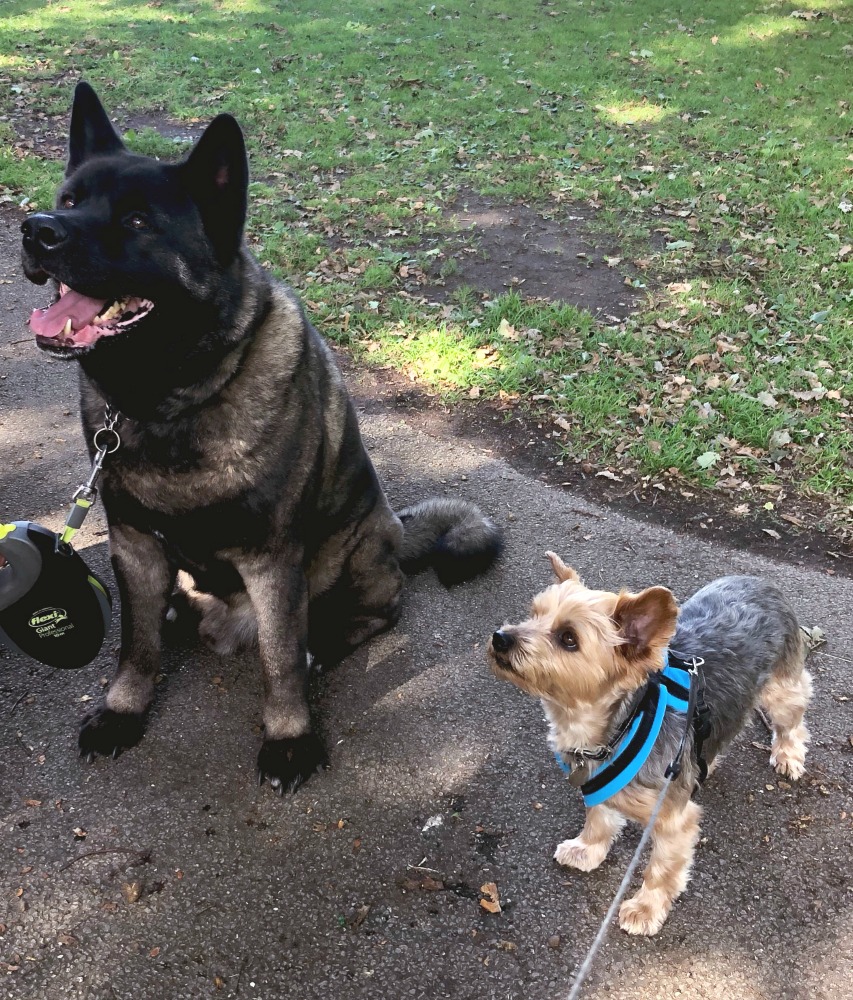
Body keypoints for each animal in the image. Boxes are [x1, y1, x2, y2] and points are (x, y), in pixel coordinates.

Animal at [21, 82, 500, 792]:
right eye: (71, 200)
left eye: (137, 221)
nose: (36, 229)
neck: (170, 400)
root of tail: (396, 527)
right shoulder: (134, 547)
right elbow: (135, 647)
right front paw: (123, 712)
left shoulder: (272, 562)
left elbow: (279, 663)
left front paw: (289, 737)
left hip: (350, 549)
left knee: (372, 613)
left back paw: (324, 642)